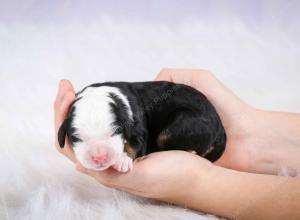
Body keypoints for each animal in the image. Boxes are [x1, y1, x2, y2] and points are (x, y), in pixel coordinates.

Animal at [57, 81, 226, 172]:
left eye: (116, 131)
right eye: (75, 138)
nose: (99, 157)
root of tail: (220, 129)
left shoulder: (137, 128)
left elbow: (135, 145)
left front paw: (123, 161)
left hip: (183, 126)